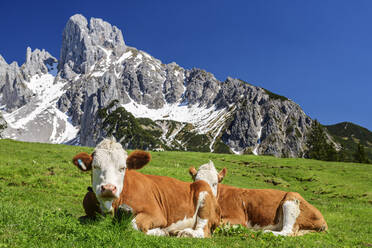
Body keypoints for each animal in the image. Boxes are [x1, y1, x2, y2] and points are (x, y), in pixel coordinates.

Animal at [71, 139, 219, 237]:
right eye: (95, 166)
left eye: (123, 167)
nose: (108, 188)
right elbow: (82, 218)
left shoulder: (156, 213)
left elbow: (134, 224)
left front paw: (161, 231)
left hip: (204, 199)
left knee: (203, 231)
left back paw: (183, 233)